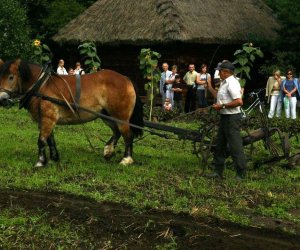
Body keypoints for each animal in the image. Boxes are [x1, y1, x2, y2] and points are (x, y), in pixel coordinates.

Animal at [0, 59, 144, 167]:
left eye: (11, 77)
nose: (2, 99)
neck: (41, 86)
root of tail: (126, 79)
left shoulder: (48, 118)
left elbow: (41, 140)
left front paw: (40, 162)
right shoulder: (46, 119)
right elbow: (50, 140)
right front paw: (54, 158)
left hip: (121, 116)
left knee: (128, 135)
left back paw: (126, 159)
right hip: (107, 115)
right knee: (117, 132)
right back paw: (108, 151)